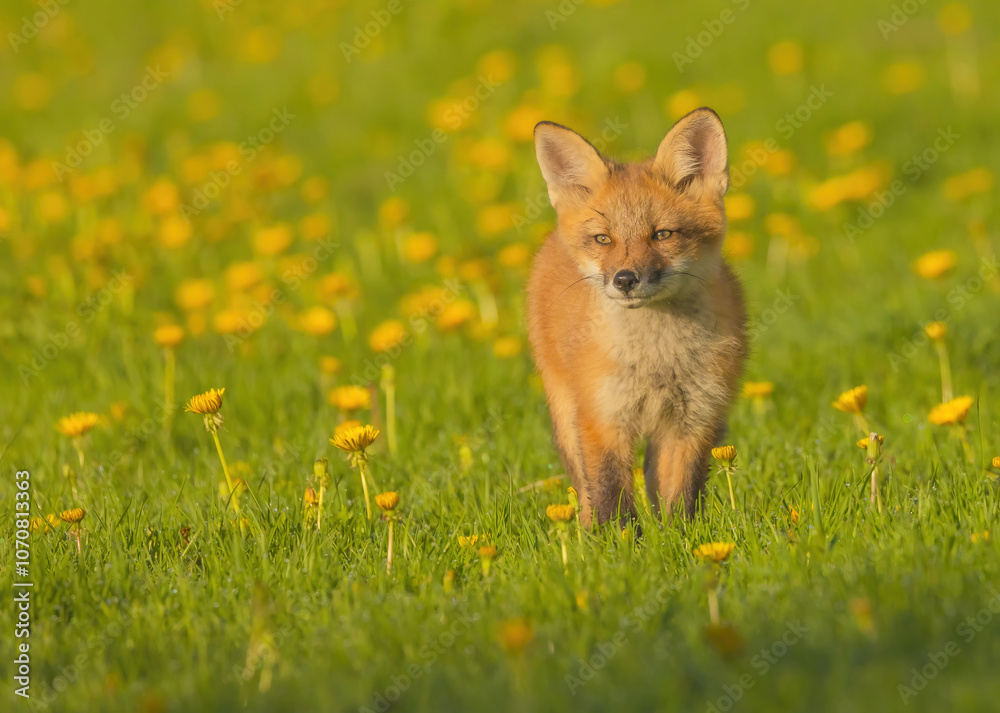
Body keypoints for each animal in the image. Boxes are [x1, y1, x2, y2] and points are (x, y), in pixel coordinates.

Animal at [526, 107, 747, 527]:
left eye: (662, 235)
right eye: (603, 239)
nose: (625, 279)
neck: (656, 360)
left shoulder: (693, 418)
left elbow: (679, 497)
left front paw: (679, 537)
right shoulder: (602, 418)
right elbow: (610, 495)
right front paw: (617, 541)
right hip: (567, 415)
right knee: (584, 491)